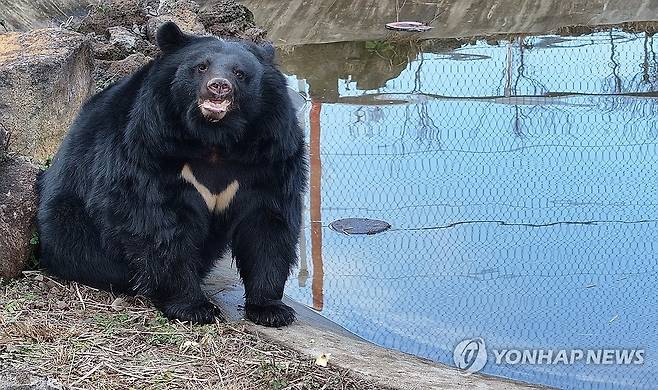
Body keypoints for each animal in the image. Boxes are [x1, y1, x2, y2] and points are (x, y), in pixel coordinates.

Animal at [37, 21, 308, 326]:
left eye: (240, 73)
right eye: (201, 67)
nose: (219, 86)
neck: (214, 137)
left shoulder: (270, 153)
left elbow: (266, 221)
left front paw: (271, 309)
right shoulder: (151, 144)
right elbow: (159, 223)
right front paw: (194, 307)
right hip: (71, 220)